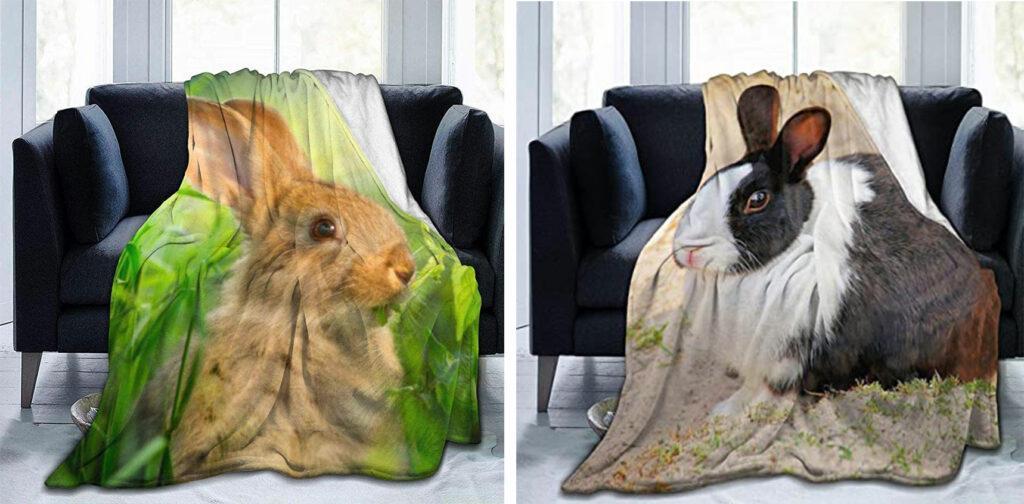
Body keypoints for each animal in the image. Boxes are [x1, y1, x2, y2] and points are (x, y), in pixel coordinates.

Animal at [672, 85, 999, 417]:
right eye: (709, 183)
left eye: (757, 200)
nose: (688, 251)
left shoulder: (793, 349)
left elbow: (768, 387)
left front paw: (726, 411)